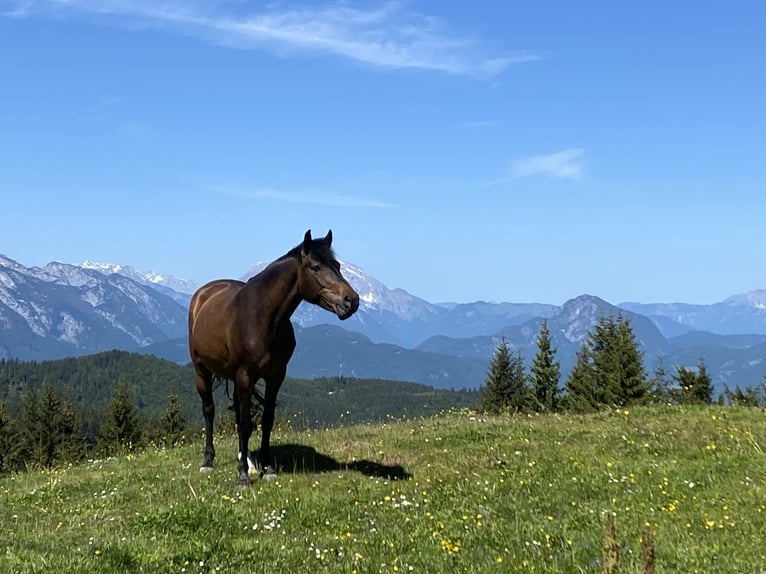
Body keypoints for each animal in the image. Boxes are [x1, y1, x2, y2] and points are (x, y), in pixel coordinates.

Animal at [188, 229, 360, 485]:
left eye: (337, 265)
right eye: (316, 267)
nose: (352, 301)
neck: (263, 317)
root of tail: (204, 294)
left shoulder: (275, 375)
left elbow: (265, 421)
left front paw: (266, 468)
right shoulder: (246, 375)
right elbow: (246, 424)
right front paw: (243, 477)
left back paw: (248, 461)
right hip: (202, 369)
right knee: (209, 410)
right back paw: (208, 461)